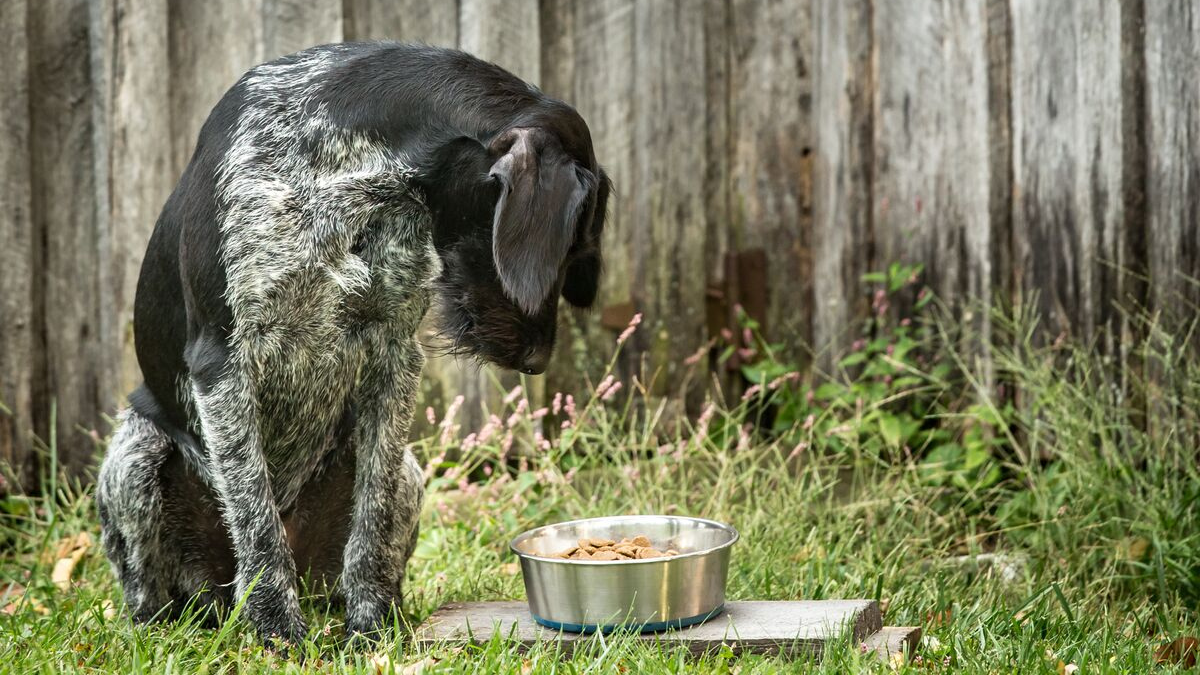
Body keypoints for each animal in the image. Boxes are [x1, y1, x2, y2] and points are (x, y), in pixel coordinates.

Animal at [96, 42, 609, 638]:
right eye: (568, 249)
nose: (537, 359)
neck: (343, 164)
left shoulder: (394, 354)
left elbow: (373, 519)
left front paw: (372, 626)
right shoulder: (223, 362)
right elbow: (255, 519)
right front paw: (277, 630)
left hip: (408, 473)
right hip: (136, 454)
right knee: (156, 585)